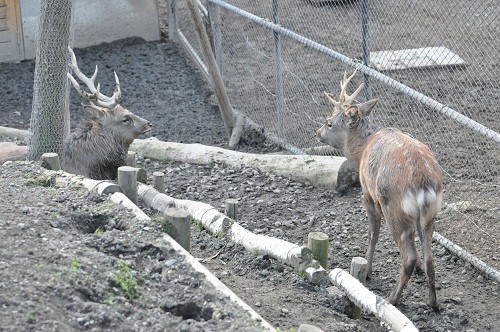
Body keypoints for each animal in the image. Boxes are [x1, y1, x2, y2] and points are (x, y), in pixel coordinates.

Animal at [318, 71, 444, 310]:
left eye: (330, 122)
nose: (317, 132)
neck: (361, 150)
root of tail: (423, 184)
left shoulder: (367, 193)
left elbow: (373, 233)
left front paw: (366, 271)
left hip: (393, 208)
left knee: (408, 256)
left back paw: (391, 299)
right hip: (430, 214)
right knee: (430, 257)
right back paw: (433, 302)